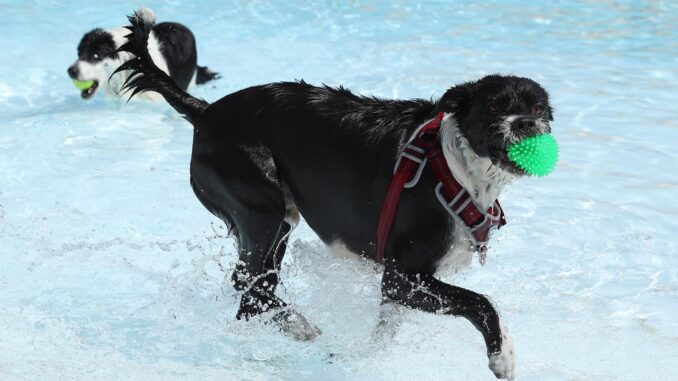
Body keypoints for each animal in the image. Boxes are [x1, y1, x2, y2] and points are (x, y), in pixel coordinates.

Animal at [114, 10, 556, 378]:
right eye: (495, 106)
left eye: (538, 108)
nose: (526, 125)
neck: (453, 169)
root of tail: (204, 111)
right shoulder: (400, 278)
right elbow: (482, 302)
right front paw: (503, 355)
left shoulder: (399, 290)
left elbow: (384, 332)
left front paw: (365, 360)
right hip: (261, 207)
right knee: (250, 289)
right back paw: (298, 326)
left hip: (276, 221)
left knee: (250, 286)